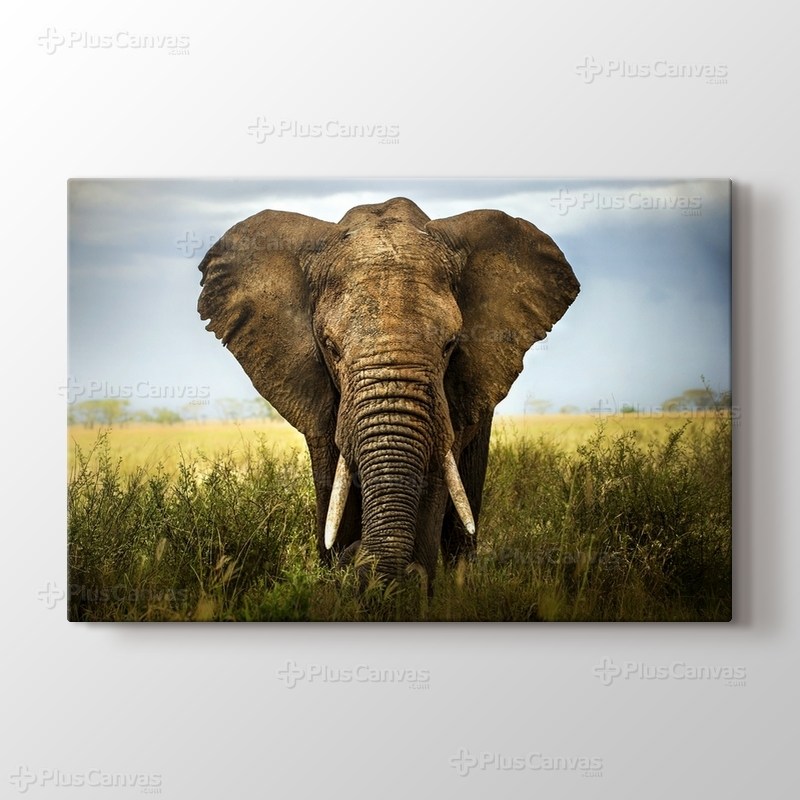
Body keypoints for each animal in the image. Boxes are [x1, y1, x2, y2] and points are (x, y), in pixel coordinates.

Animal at [198, 197, 579, 585]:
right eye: (331, 348)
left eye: (450, 345)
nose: (356, 557)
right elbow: (333, 484)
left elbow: (434, 478)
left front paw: (406, 586)